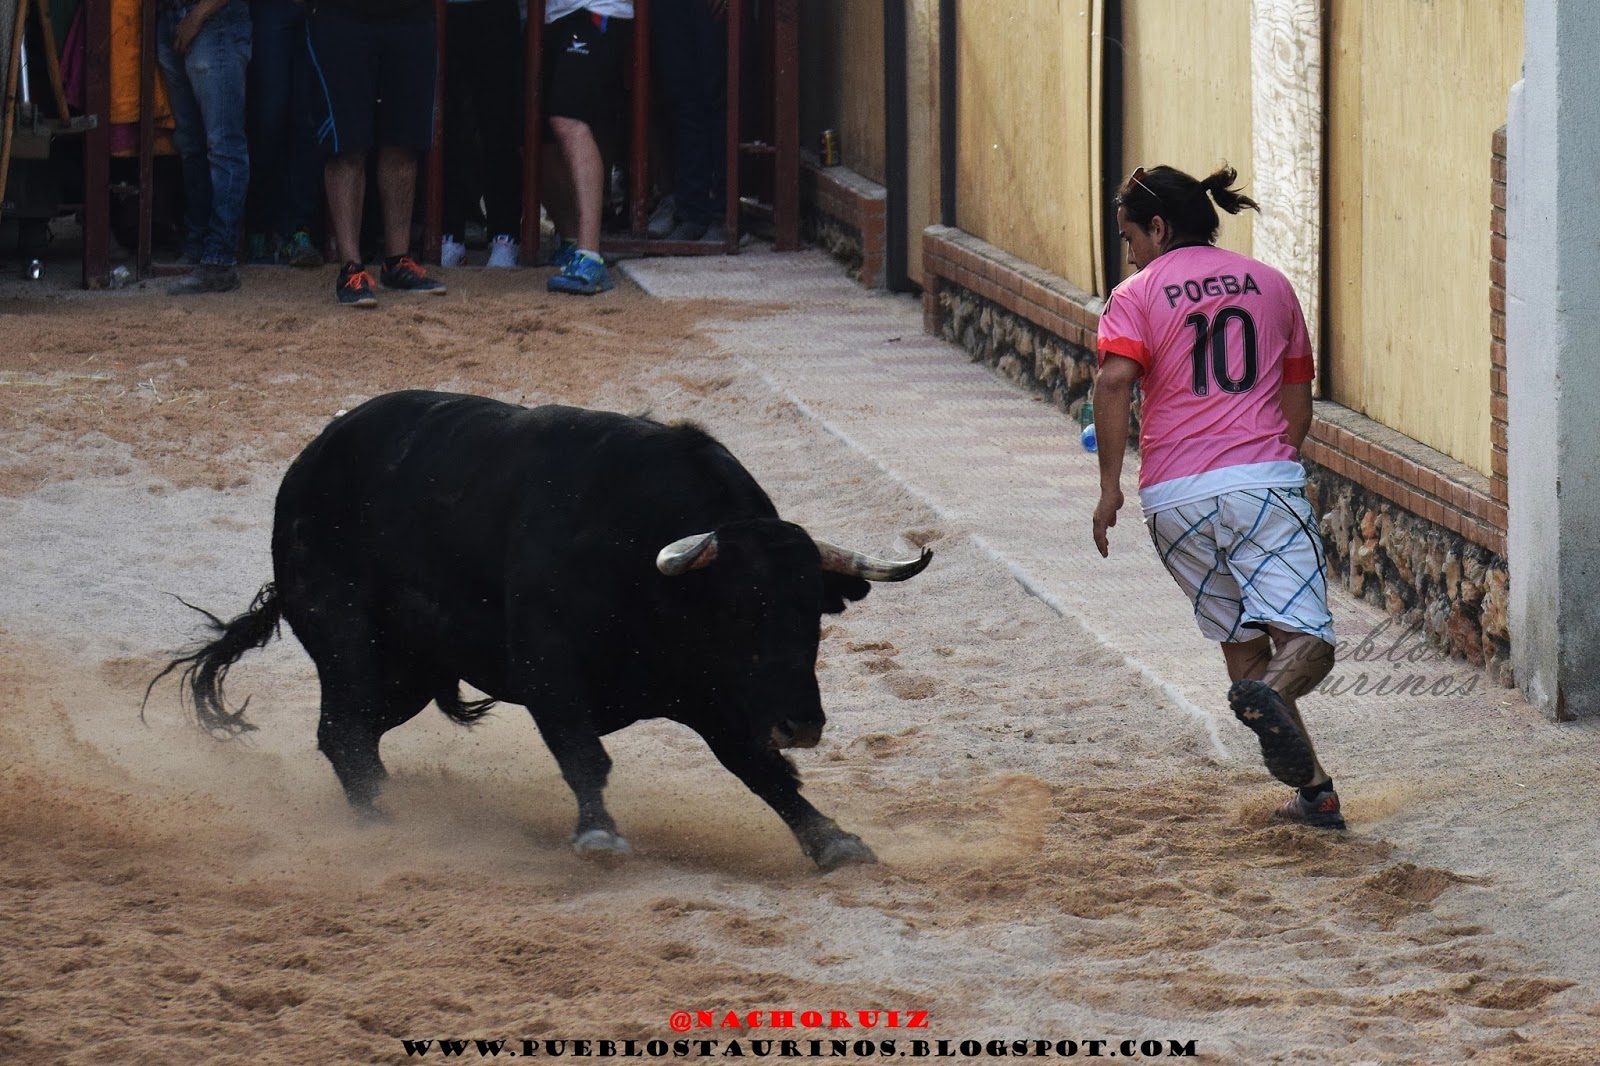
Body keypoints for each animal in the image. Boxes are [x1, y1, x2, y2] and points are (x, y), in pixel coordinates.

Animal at [153, 390, 931, 871]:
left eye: (813, 615)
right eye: (741, 611)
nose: (803, 722)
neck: (644, 568)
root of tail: (309, 463)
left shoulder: (716, 696)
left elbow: (763, 771)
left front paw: (834, 841)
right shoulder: (550, 669)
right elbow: (584, 754)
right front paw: (598, 835)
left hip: (408, 672)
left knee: (358, 736)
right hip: (351, 645)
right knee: (341, 731)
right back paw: (382, 829)